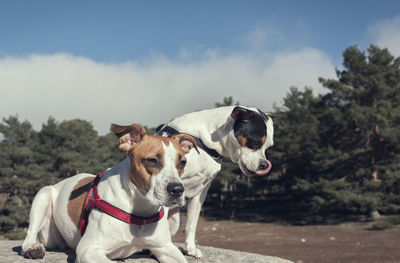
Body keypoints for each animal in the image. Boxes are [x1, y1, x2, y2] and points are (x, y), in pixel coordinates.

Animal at [20, 124, 198, 263]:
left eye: (182, 163)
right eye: (152, 161)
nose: (177, 189)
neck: (139, 208)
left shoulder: (165, 247)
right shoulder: (88, 249)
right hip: (43, 197)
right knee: (29, 236)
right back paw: (33, 248)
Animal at [156, 106, 282, 258]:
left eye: (268, 147)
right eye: (255, 142)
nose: (264, 165)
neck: (203, 142)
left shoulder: (201, 192)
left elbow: (192, 224)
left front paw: (191, 249)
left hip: (175, 221)